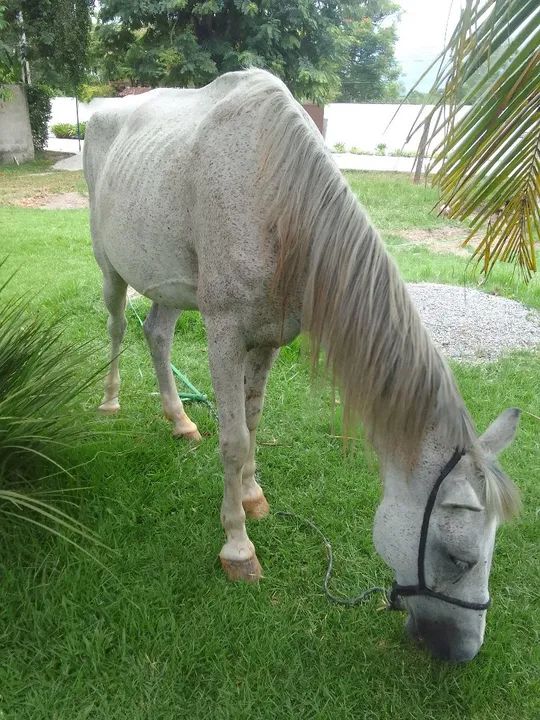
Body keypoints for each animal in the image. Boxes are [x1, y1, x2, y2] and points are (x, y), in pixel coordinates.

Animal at [83, 69, 521, 663]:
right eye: (460, 558)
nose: (463, 653)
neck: (274, 197)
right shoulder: (225, 333)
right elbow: (233, 440)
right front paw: (238, 547)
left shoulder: (267, 338)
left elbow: (252, 422)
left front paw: (252, 497)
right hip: (111, 268)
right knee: (117, 328)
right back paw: (110, 402)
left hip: (168, 284)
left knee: (157, 335)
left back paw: (180, 421)